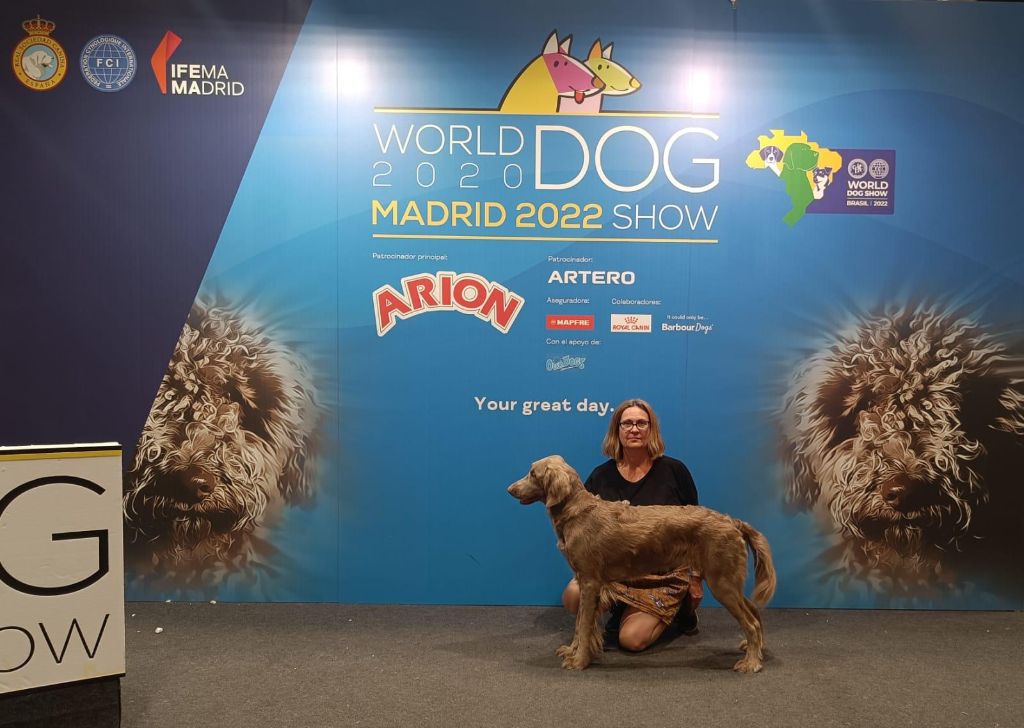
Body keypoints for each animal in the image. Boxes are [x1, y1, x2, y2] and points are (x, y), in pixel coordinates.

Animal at [508, 455, 776, 672]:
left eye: (533, 473)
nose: (509, 488)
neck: (577, 512)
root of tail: (733, 521)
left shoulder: (591, 582)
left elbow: (583, 625)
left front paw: (579, 661)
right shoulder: (584, 582)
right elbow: (579, 623)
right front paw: (572, 651)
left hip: (722, 582)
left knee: (751, 622)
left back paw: (751, 663)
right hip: (729, 583)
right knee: (754, 612)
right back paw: (752, 649)